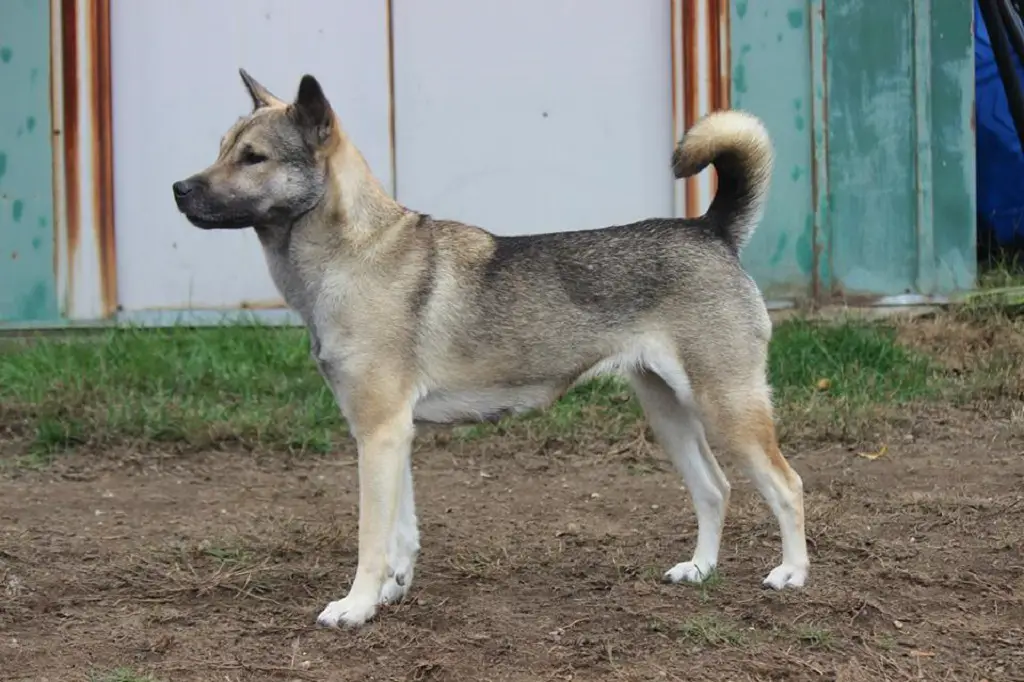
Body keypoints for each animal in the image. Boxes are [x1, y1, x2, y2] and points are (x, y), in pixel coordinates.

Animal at [169, 69, 806, 626]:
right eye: (223, 148)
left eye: (254, 157)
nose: (177, 188)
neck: (356, 255)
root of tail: (710, 230)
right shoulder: (393, 437)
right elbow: (403, 533)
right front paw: (393, 592)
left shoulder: (378, 434)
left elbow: (372, 539)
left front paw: (356, 607)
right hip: (669, 413)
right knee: (714, 489)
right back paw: (700, 570)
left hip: (729, 409)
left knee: (787, 486)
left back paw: (792, 574)